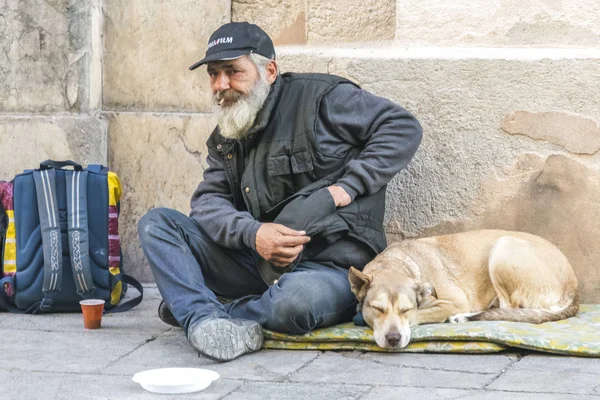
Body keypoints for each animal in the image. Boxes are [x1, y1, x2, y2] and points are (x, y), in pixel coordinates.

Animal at [350, 230, 580, 348]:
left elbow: (421, 313)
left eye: (406, 309)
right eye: (377, 309)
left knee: (508, 308)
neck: (397, 263)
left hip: (502, 247)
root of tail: (572, 287)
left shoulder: (454, 301)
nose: (393, 340)